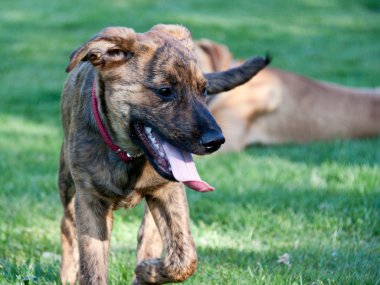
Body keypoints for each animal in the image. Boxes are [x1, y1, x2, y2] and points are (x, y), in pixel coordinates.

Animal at [59, 25, 268, 284]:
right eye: (165, 91)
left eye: (204, 90)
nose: (216, 141)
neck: (128, 155)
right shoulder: (89, 201)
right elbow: (92, 268)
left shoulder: (170, 191)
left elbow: (184, 258)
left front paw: (146, 271)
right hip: (67, 182)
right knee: (67, 226)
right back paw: (68, 273)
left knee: (150, 237)